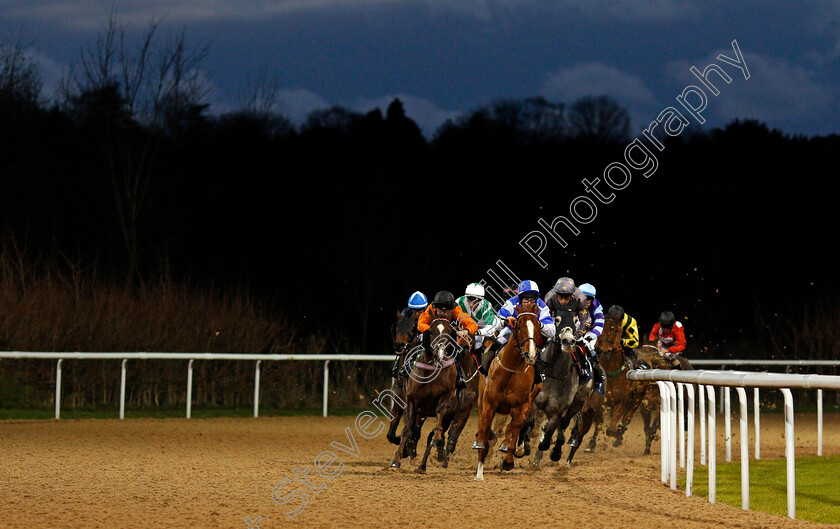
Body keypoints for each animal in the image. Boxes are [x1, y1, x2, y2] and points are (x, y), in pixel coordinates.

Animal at [392, 318, 462, 470]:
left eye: (449, 332)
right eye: (430, 331)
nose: (438, 352)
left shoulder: (445, 400)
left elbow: (437, 425)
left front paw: (437, 442)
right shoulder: (410, 401)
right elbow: (407, 430)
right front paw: (396, 458)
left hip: (451, 416)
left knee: (433, 435)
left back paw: (427, 461)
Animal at [470, 308, 540, 480]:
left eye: (538, 328)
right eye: (519, 327)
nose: (531, 355)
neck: (511, 370)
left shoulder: (523, 404)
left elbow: (516, 425)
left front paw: (507, 456)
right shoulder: (489, 404)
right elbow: (485, 429)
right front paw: (479, 473)